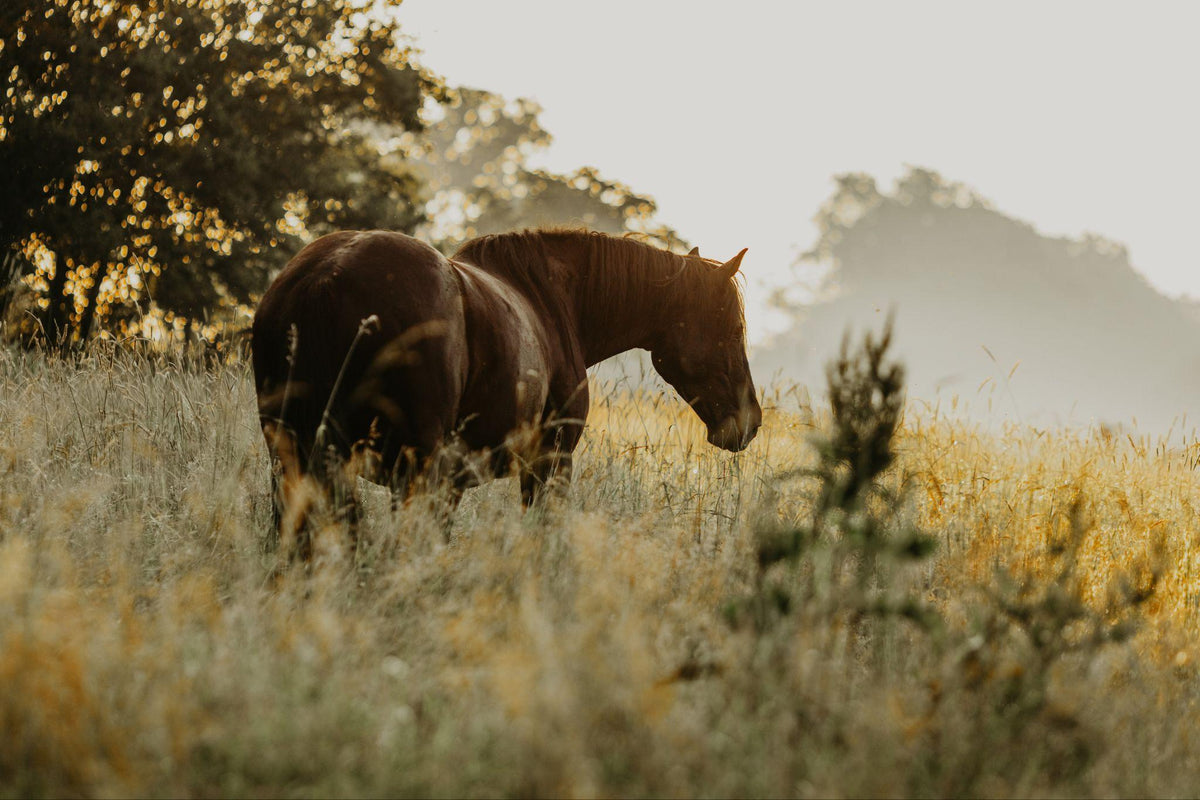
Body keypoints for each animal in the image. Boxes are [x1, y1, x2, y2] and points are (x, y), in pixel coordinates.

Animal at [251, 228, 761, 557]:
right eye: (733, 329)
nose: (750, 422)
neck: (552, 302)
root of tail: (326, 274)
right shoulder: (549, 462)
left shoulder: (452, 480)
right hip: (407, 470)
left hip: (296, 459)